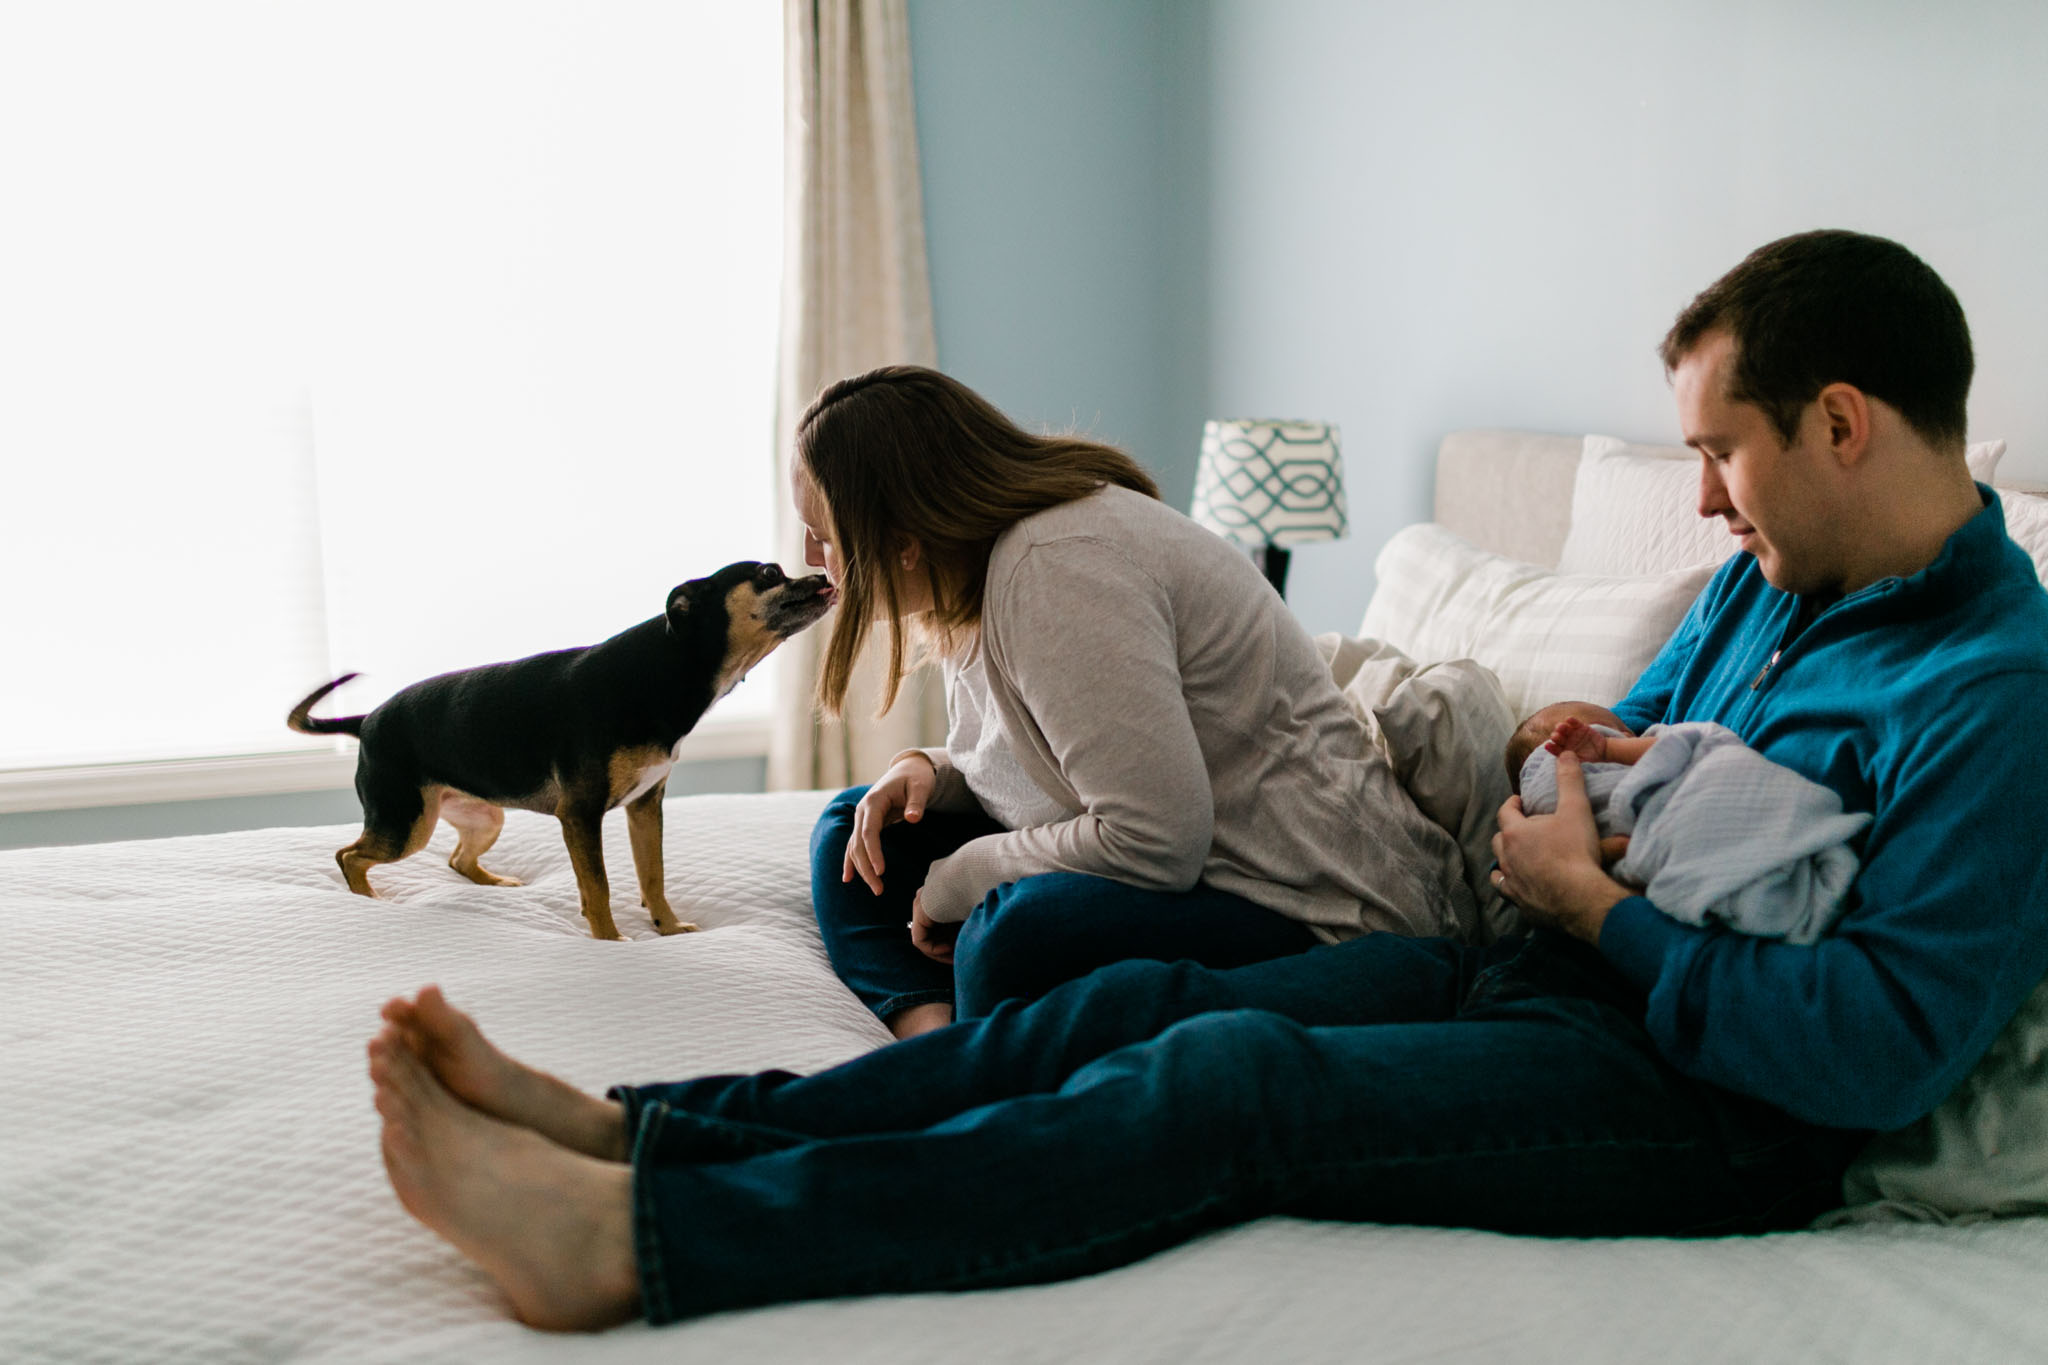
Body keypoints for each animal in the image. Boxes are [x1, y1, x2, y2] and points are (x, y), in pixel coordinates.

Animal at [288, 564, 831, 941]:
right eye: (769, 574)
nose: (824, 574)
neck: (667, 667)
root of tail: (367, 722)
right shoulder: (581, 815)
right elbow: (600, 888)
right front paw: (611, 941)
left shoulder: (644, 806)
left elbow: (652, 876)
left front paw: (668, 928)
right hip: (406, 826)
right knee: (348, 855)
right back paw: (370, 900)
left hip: (484, 818)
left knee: (457, 860)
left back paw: (494, 884)